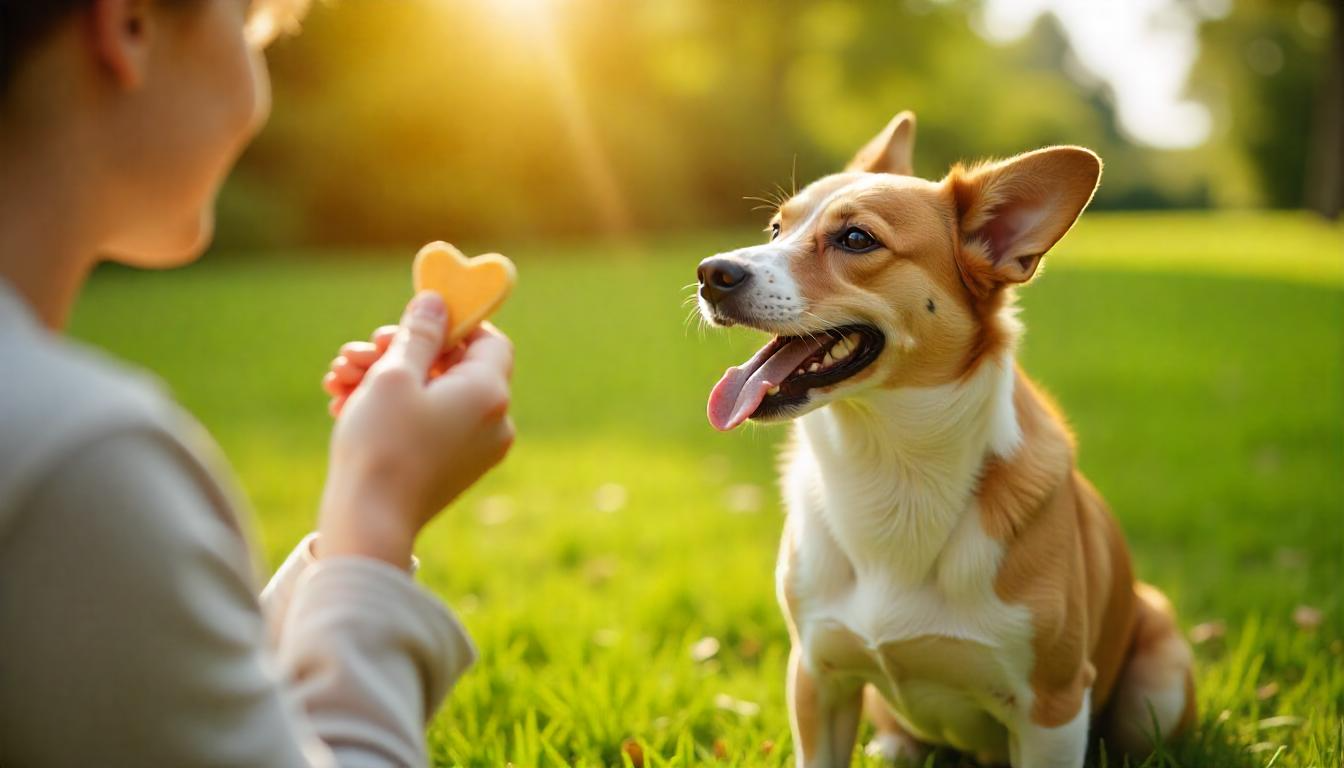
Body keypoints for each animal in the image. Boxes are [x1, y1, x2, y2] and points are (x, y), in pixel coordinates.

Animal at [698, 109, 1193, 768]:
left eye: (856, 239)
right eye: (777, 227)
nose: (710, 274)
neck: (892, 467)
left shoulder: (1053, 709)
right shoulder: (817, 676)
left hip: (1155, 686)